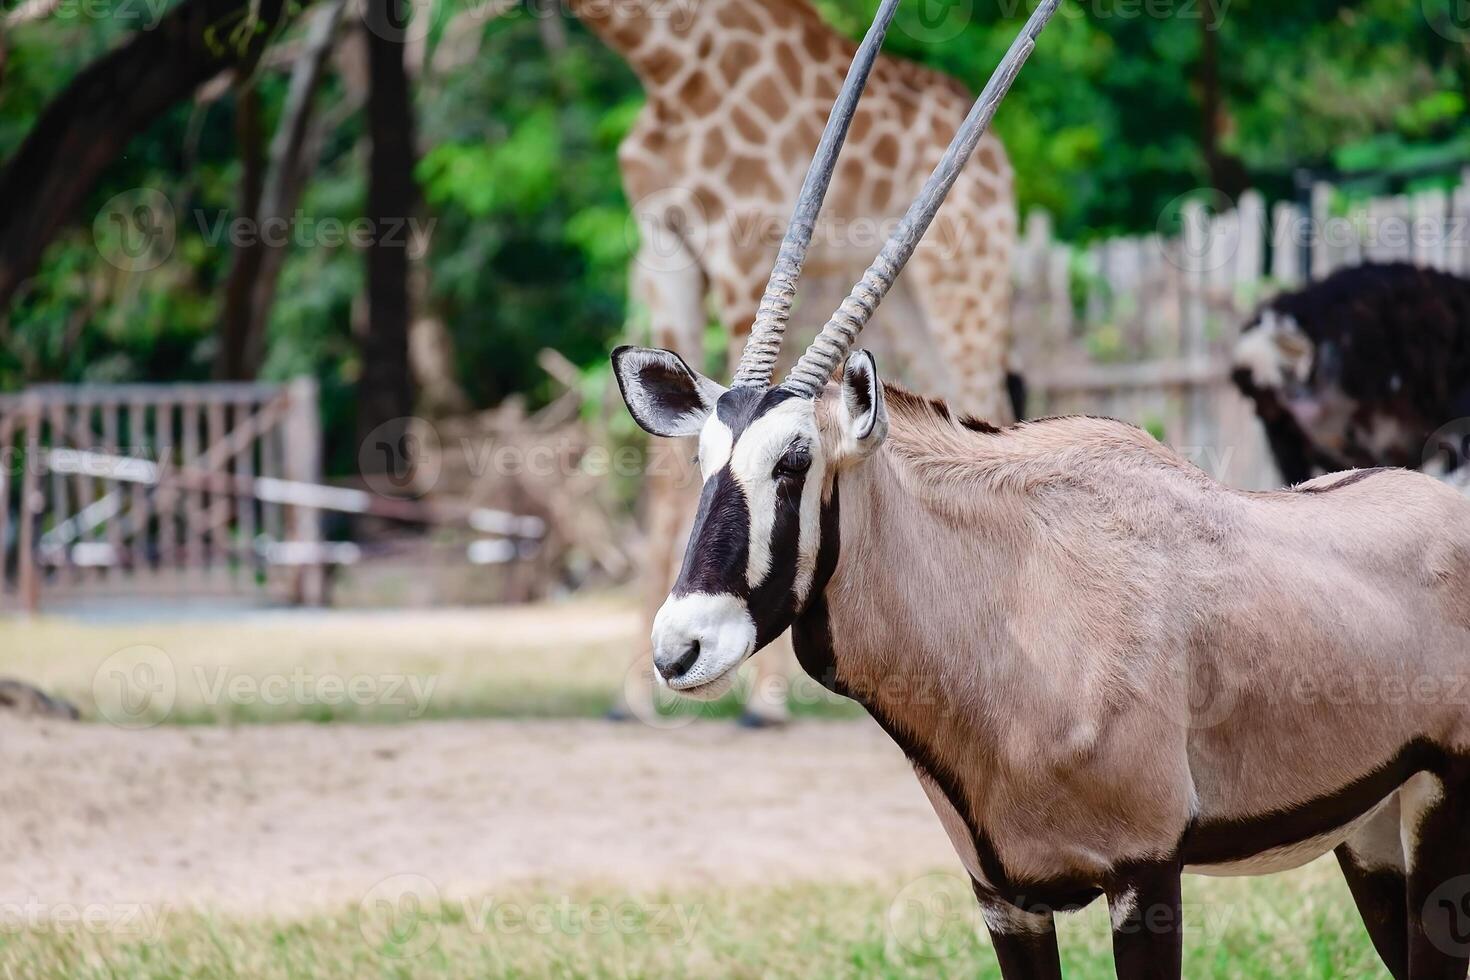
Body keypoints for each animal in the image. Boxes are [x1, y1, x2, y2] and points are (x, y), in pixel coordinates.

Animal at [567, 0, 1017, 725]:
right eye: (706, 458)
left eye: (795, 461)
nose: (680, 650)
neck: (672, 74)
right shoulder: (666, 255)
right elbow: (662, 478)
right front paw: (631, 697)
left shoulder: (740, 253)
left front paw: (766, 701)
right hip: (912, 313)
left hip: (964, 286)